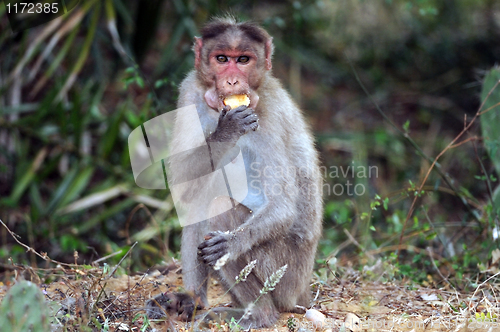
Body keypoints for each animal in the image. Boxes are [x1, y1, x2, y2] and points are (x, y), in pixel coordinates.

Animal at [164, 16, 322, 328]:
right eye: (222, 59)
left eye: (243, 60)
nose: (233, 81)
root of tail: (303, 293)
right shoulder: (190, 90)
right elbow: (182, 180)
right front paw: (227, 131)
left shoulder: (268, 117)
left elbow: (282, 206)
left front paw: (231, 244)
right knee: (201, 198)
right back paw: (195, 299)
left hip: (284, 274)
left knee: (218, 207)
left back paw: (261, 316)